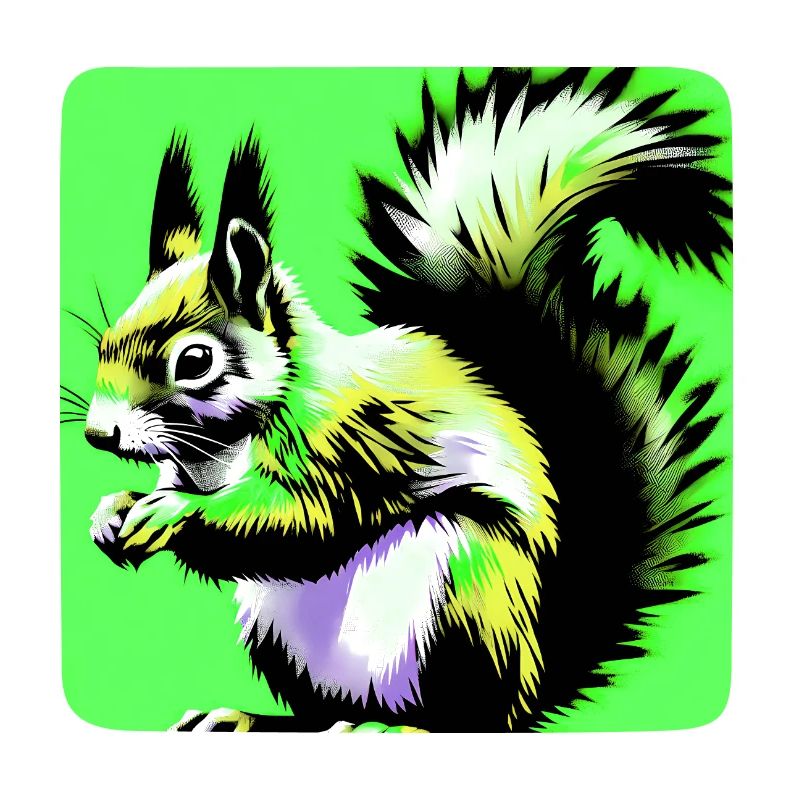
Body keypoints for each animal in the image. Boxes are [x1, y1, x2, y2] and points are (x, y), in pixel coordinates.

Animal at [80, 67, 731, 732]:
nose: (99, 435)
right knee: (314, 710)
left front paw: (170, 514)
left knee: (465, 715)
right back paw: (248, 719)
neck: (221, 444)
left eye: (194, 362)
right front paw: (114, 510)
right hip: (279, 629)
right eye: (103, 343)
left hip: (464, 592)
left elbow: (301, 518)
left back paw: (391, 726)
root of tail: (531, 683)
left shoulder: (346, 442)